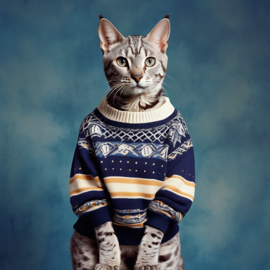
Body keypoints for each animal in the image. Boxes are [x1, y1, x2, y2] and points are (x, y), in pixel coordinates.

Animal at [69, 15, 195, 270]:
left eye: (150, 61)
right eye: (121, 61)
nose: (137, 76)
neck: (136, 110)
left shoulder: (180, 157)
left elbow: (155, 227)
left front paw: (146, 260)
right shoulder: (85, 154)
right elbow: (104, 229)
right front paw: (109, 261)